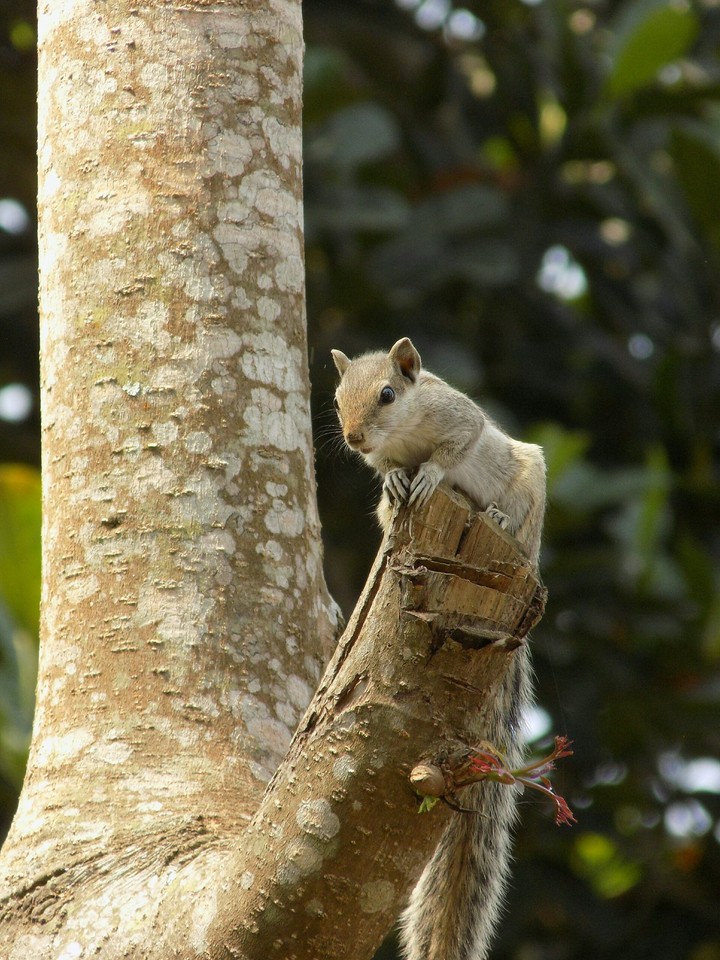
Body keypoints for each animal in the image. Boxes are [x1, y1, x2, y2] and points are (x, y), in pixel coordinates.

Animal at [331, 336, 546, 960]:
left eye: (387, 393)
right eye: (337, 398)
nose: (354, 437)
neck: (402, 434)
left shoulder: (458, 419)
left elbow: (453, 450)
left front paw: (427, 473)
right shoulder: (381, 459)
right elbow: (386, 475)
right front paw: (395, 482)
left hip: (529, 492)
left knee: (519, 527)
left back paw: (497, 516)